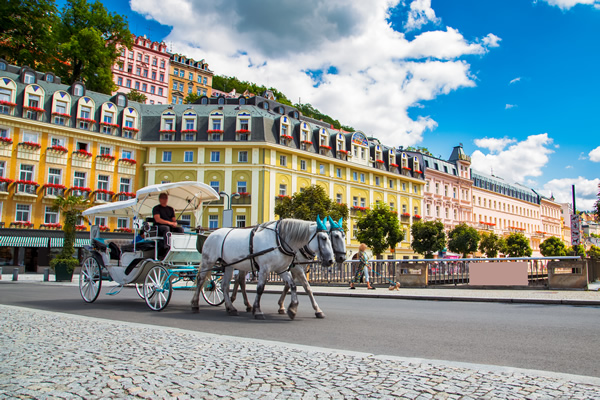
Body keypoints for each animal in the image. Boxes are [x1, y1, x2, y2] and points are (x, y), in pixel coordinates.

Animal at [191, 217, 332, 320]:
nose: (331, 260)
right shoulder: (264, 269)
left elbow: (292, 285)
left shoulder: (281, 269)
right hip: (208, 261)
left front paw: (292, 309)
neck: (279, 240)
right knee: (201, 280)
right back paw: (195, 304)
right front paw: (257, 310)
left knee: (225, 285)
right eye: (324, 238)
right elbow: (260, 289)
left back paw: (231, 308)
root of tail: (212, 234)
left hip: (228, 265)